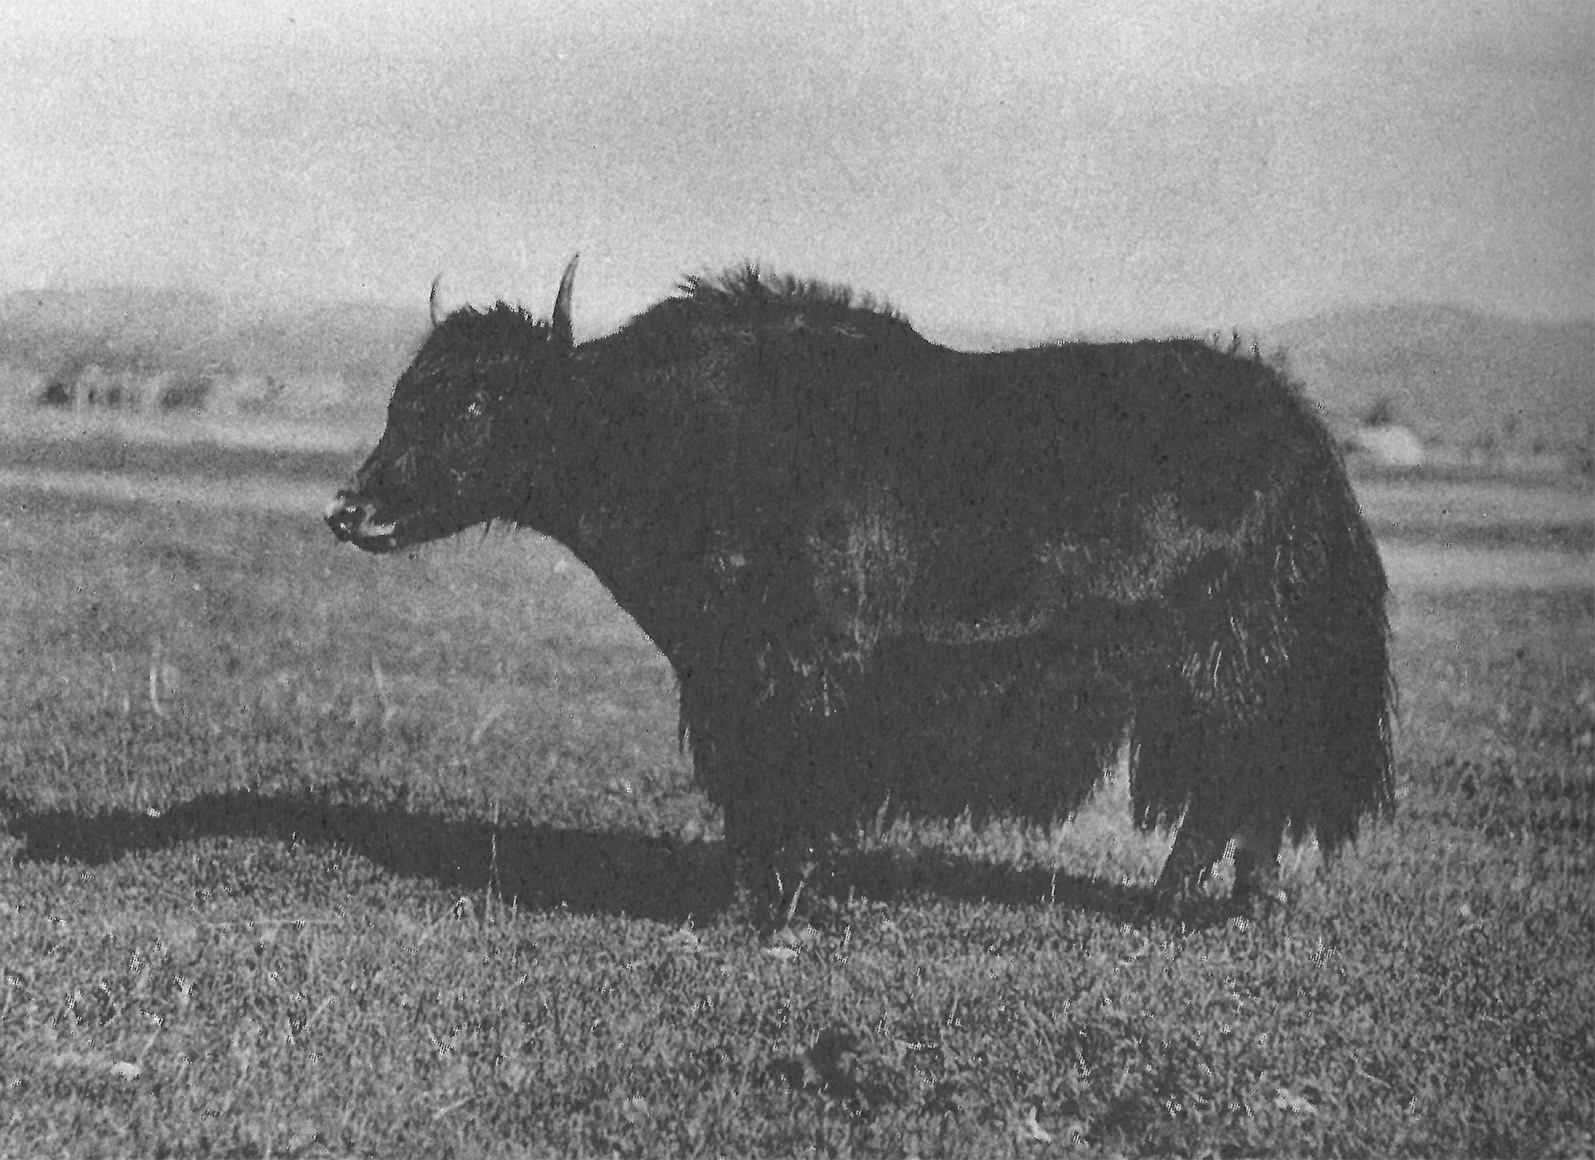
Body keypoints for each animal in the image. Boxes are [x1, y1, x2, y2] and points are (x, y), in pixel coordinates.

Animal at [327, 256, 1394, 921]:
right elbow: (753, 795)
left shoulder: (793, 670)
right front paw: (755, 898)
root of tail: (1306, 435)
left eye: (475, 403)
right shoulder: (728, 677)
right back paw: (1222, 901)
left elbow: (784, 786)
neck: (654, 433)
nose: (350, 510)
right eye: (401, 398)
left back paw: (1186, 904)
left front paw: (774, 908)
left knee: (1238, 784)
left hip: (1234, 666)